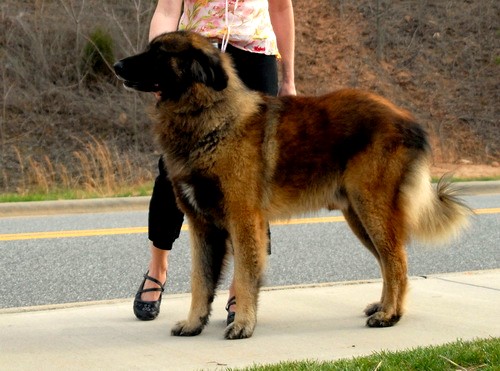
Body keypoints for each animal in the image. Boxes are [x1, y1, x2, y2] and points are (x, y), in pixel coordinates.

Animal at [115, 31, 470, 340]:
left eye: (159, 53)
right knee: (387, 261)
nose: (117, 66)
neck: (209, 116)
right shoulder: (203, 226)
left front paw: (242, 324)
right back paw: (383, 307)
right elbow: (200, 281)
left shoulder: (243, 221)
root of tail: (408, 120)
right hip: (358, 216)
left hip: (373, 209)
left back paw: (390, 315)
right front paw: (193, 324)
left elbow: (244, 276)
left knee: (397, 260)